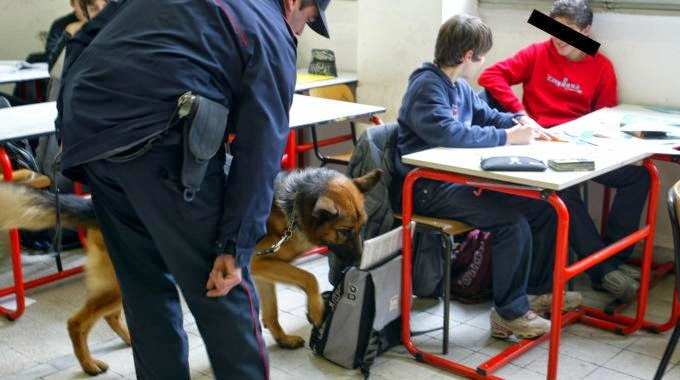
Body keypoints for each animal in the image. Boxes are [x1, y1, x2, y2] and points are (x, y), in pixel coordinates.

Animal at [0, 168, 382, 376]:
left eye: (362, 225)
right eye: (345, 232)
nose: (358, 261)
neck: (292, 206)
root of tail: (93, 205)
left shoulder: (261, 274)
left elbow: (271, 313)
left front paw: (282, 337)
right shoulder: (261, 265)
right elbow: (309, 278)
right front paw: (316, 311)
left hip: (126, 282)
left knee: (110, 315)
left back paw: (129, 340)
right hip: (121, 283)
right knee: (77, 322)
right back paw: (88, 364)